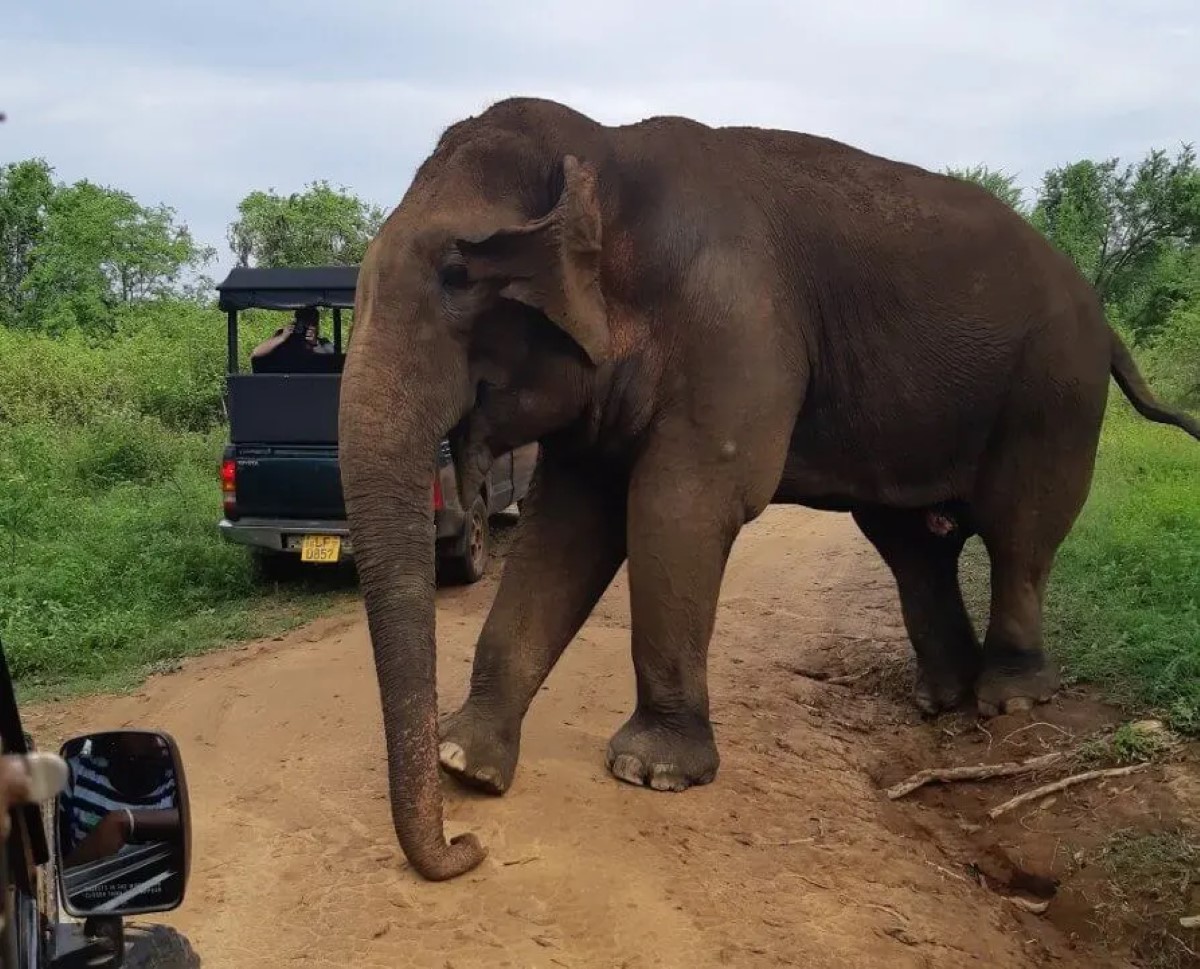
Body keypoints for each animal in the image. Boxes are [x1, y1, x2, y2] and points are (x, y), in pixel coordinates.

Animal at [338, 96, 1200, 877]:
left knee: (1021, 530)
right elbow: (569, 524)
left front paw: (652, 771)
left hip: (1054, 389)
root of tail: (1106, 321)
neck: (606, 151)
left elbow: (680, 506)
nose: (466, 847)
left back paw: (1009, 698)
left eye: (457, 274)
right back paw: (941, 699)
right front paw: (468, 763)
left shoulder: (736, 326)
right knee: (912, 543)